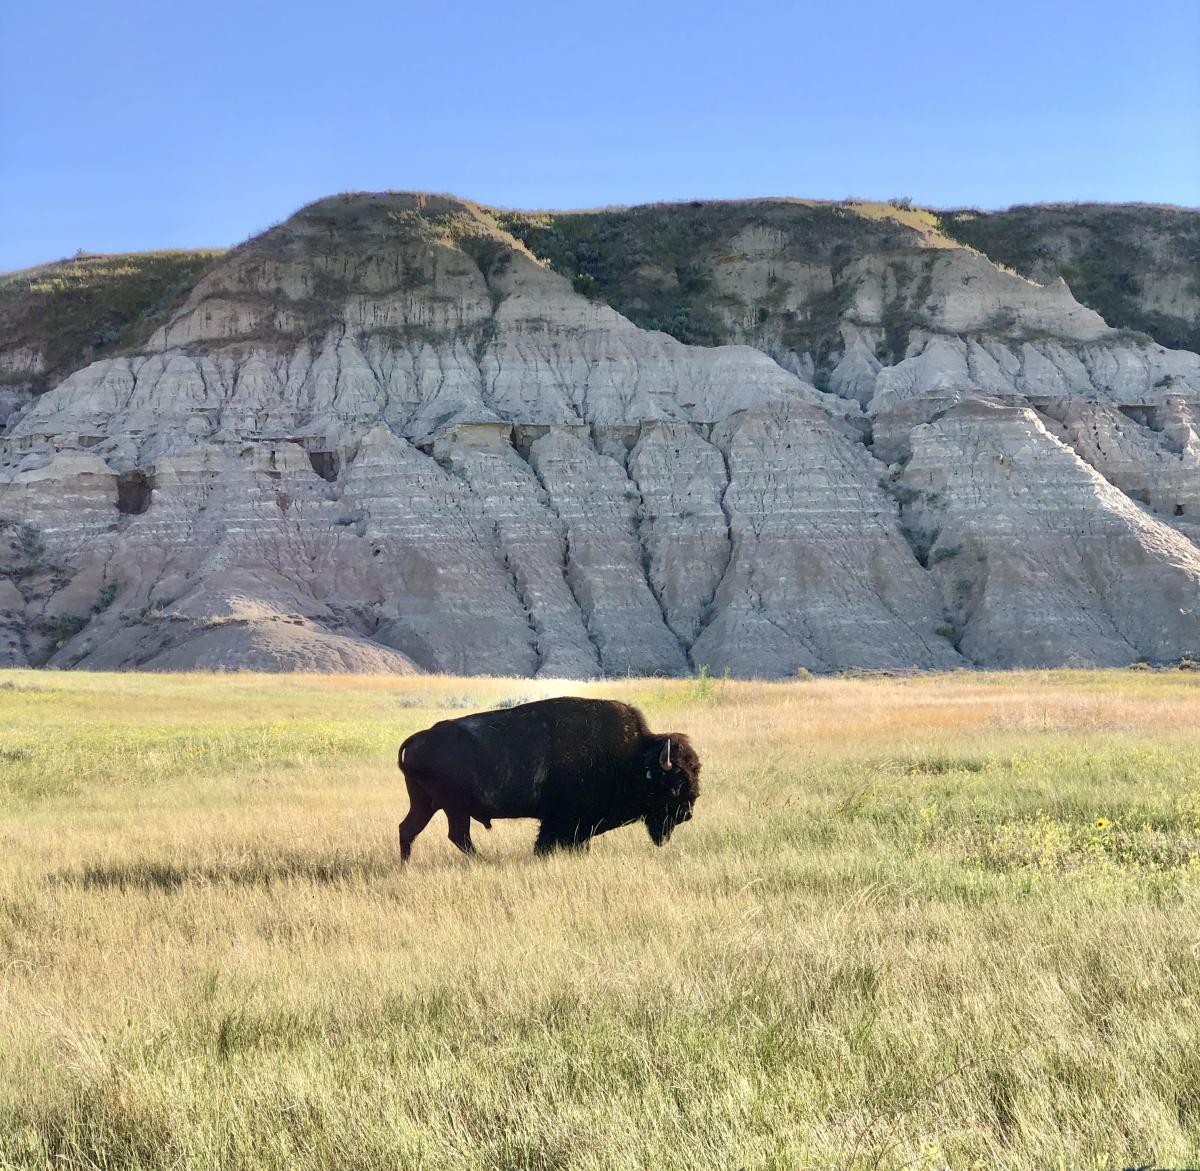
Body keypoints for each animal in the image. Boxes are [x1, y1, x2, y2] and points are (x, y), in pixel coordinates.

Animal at [397, 696, 700, 860]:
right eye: (674, 785)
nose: (687, 814)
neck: (632, 756)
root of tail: (417, 738)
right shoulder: (561, 819)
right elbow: (546, 842)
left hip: (426, 803)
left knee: (408, 830)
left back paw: (405, 866)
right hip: (454, 807)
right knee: (458, 836)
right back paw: (483, 861)